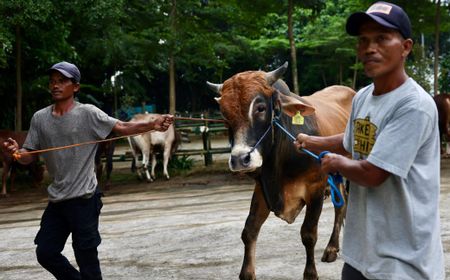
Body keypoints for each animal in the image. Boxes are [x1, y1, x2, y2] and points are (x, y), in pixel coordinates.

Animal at [207, 63, 356, 280]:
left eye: (260, 108)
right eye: (224, 116)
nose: (240, 159)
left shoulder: (315, 188)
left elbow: (308, 233)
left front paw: (310, 274)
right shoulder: (262, 188)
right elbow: (249, 230)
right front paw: (247, 273)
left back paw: (331, 248)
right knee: (342, 202)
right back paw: (332, 248)